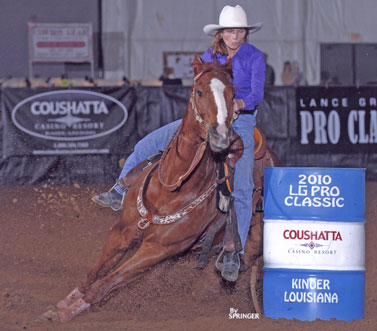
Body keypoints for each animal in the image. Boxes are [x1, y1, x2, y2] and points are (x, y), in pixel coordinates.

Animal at [49, 55, 238, 322]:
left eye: (233, 94)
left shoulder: (156, 250)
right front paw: (65, 303)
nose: (220, 135)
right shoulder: (122, 231)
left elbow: (105, 284)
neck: (170, 192)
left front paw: (65, 314)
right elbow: (95, 273)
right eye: (199, 91)